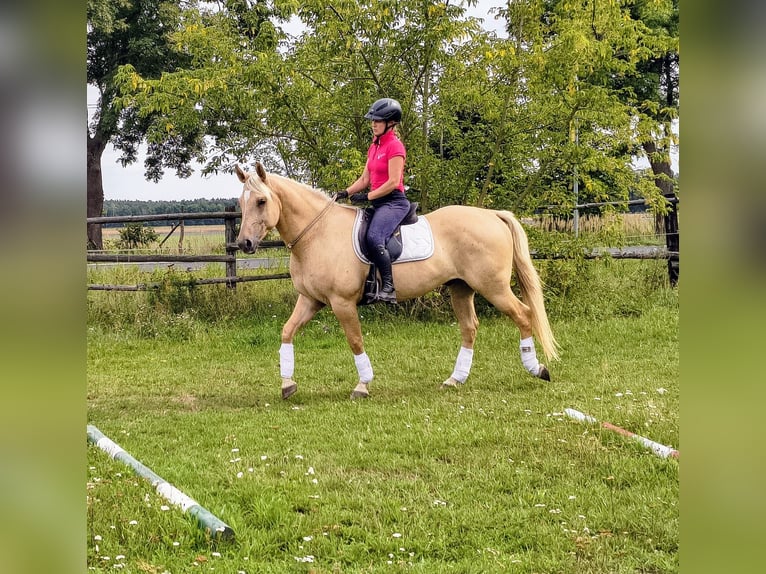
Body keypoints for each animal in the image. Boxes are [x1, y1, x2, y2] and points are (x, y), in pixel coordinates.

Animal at [235, 162, 559, 400]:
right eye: (241, 202)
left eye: (261, 201)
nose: (245, 244)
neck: (318, 233)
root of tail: (492, 215)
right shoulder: (311, 300)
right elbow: (287, 332)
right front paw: (287, 384)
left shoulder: (342, 303)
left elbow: (355, 340)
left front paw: (362, 385)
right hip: (461, 288)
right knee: (470, 328)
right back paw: (455, 379)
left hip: (494, 287)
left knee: (523, 314)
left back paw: (537, 368)